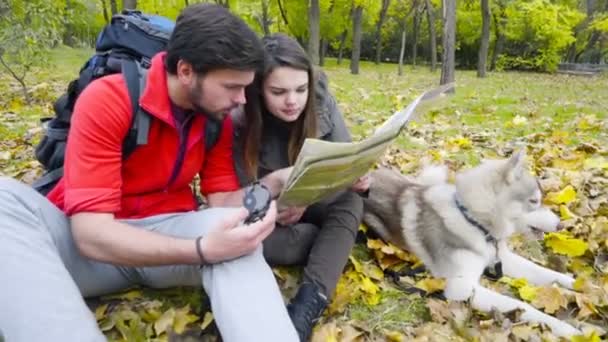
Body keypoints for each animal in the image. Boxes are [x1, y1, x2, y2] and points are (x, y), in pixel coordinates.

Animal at [364, 152, 580, 336]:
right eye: (534, 201)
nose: (561, 225)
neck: (473, 221)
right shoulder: (461, 288)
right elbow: (523, 306)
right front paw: (565, 328)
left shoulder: (501, 258)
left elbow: (544, 272)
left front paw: (574, 284)